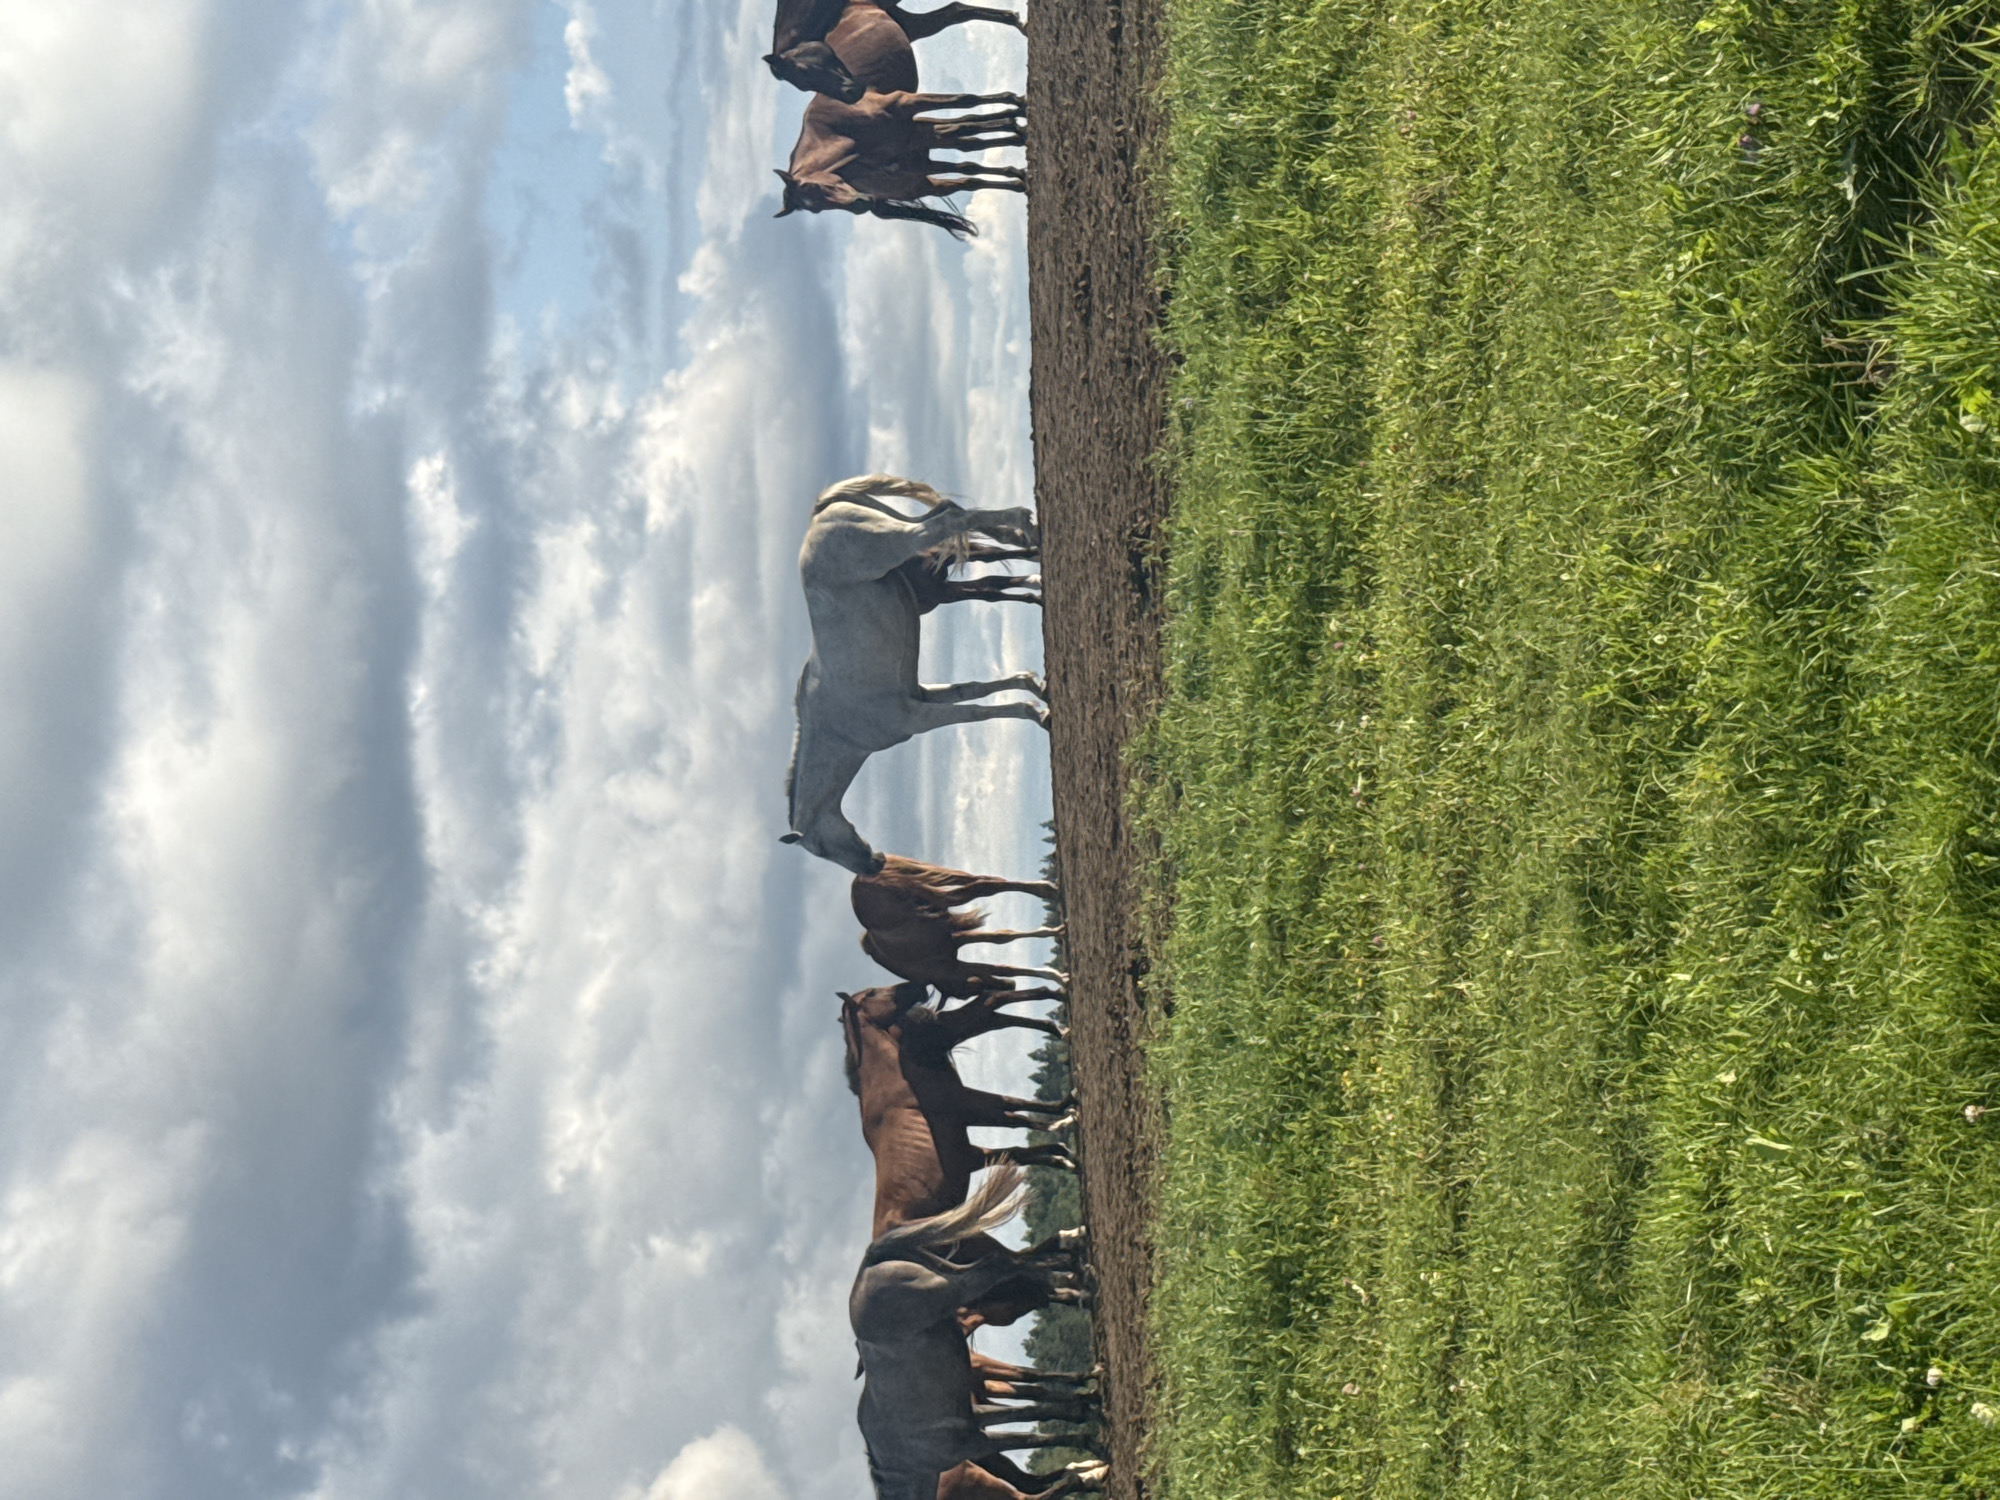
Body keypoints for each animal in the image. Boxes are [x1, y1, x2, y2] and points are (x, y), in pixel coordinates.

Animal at [768, 0, 1024, 103]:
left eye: (806, 69)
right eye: (803, 85)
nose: (850, 95)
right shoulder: (904, 22)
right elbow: (955, 12)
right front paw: (1017, 21)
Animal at [777, 91, 1027, 238]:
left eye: (812, 186)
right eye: (815, 209)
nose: (859, 204)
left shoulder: (907, 105)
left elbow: (965, 101)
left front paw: (1017, 105)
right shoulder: (918, 171)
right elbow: (969, 170)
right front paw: (1019, 177)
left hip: (925, 137)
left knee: (965, 127)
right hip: (923, 164)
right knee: (966, 152)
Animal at [784, 475, 1044, 875]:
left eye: (820, 848)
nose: (874, 865)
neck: (839, 729)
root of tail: (821, 512)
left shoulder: (918, 718)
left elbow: (977, 712)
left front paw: (1037, 713)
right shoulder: (923, 694)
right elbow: (975, 689)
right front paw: (1037, 688)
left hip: (902, 540)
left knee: (949, 521)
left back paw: (1023, 525)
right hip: (900, 528)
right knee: (950, 513)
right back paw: (1025, 536)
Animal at [854, 856, 1065, 998]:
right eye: (970, 992)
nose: (1009, 986)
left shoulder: (953, 946)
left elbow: (1000, 950)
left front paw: (1059, 977)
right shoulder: (956, 948)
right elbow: (1002, 955)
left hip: (940, 892)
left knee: (984, 885)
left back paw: (1048, 891)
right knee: (988, 881)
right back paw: (1046, 889)